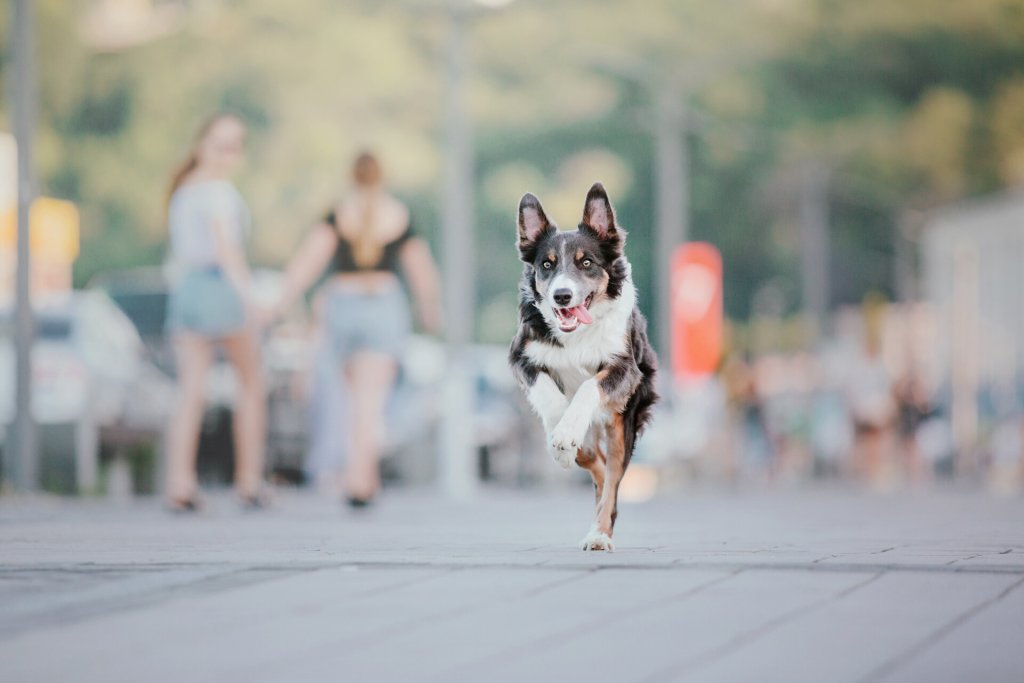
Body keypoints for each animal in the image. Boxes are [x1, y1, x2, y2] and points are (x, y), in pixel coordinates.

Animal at [509, 184, 655, 552]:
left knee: (613, 479)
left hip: (622, 422)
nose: (561, 296)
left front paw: (565, 431)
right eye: (546, 264)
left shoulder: (624, 368)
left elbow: (590, 386)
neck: (576, 335)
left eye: (586, 262)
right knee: (596, 465)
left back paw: (599, 534)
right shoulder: (521, 357)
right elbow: (549, 395)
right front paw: (559, 434)